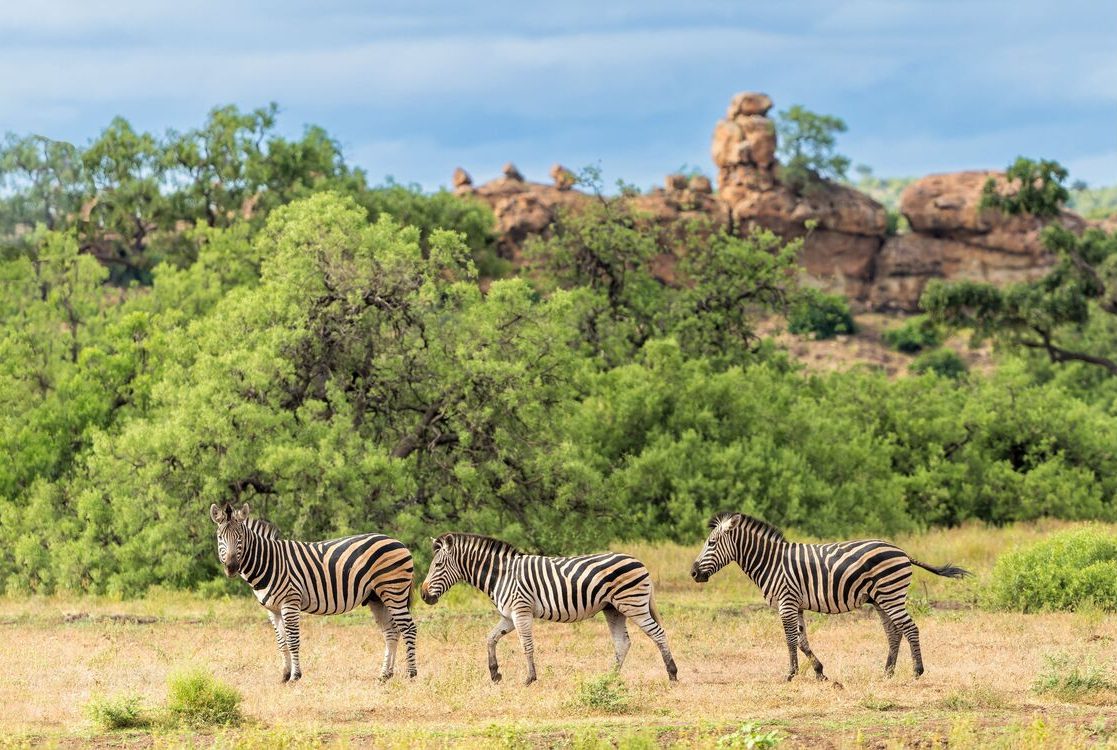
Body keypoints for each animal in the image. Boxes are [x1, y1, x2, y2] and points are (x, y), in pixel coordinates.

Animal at [209, 502, 418, 683]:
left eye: (240, 537)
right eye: (220, 537)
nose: (231, 567)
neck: (270, 562)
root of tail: (398, 542)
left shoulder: (290, 603)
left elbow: (293, 640)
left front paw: (295, 676)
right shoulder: (272, 610)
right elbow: (281, 643)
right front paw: (284, 675)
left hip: (393, 591)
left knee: (409, 628)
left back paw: (411, 674)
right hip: (377, 598)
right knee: (391, 632)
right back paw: (385, 675)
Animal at [420, 533, 678, 685]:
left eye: (438, 565)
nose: (422, 595)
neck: (501, 575)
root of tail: (639, 561)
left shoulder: (521, 610)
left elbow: (526, 645)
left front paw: (530, 678)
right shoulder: (509, 616)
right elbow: (490, 638)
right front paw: (495, 673)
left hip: (633, 604)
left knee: (658, 633)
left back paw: (672, 674)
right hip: (613, 609)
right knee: (623, 643)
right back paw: (609, 679)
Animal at [690, 512, 969, 681]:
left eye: (711, 543)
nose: (693, 573)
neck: (771, 562)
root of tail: (901, 551)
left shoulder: (786, 603)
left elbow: (790, 640)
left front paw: (790, 674)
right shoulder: (796, 605)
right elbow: (802, 641)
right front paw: (819, 672)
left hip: (891, 595)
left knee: (910, 628)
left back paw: (917, 671)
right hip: (882, 599)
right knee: (894, 632)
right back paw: (887, 672)